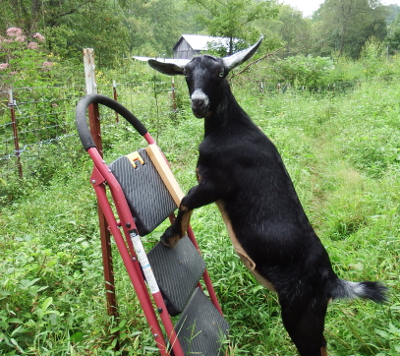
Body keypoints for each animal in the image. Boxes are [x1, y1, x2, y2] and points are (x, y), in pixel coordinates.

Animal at [148, 37, 388, 354]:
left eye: (221, 73)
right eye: (186, 73)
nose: (199, 102)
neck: (228, 129)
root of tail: (331, 281)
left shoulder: (215, 183)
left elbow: (185, 200)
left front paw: (170, 236)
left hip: (300, 311)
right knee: (323, 345)